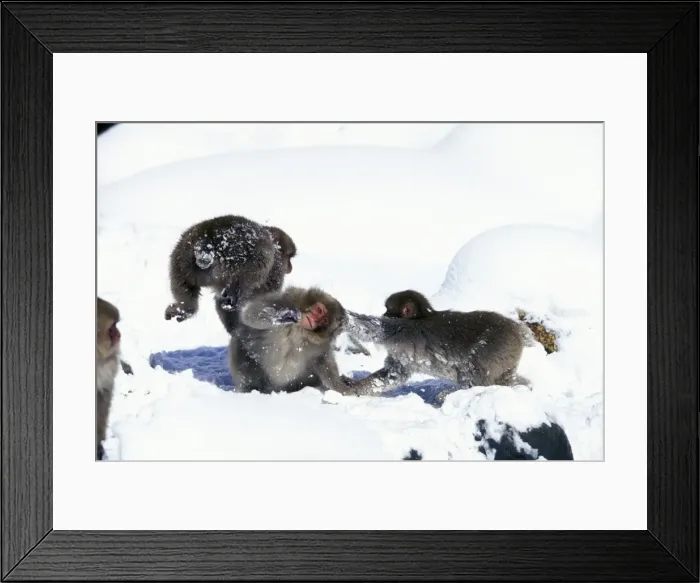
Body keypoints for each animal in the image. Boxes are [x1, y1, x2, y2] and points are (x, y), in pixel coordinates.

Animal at [164, 215, 297, 332]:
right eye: (289, 257)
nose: (290, 267)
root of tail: (208, 239)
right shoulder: (276, 273)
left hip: (182, 256)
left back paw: (184, 309)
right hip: (240, 259)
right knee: (257, 268)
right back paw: (234, 294)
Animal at [228, 286, 356, 394]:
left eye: (324, 320)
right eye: (319, 310)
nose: (314, 319)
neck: (302, 330)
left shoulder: (321, 345)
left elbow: (324, 361)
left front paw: (342, 387)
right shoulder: (290, 297)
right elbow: (252, 312)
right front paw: (285, 314)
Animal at [343, 290, 531, 397]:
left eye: (389, 310)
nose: (383, 314)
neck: (419, 317)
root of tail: (516, 328)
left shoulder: (404, 331)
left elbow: (375, 329)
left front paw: (343, 315)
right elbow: (393, 376)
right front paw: (354, 388)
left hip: (495, 348)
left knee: (474, 373)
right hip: (506, 357)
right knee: (506, 379)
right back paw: (525, 387)